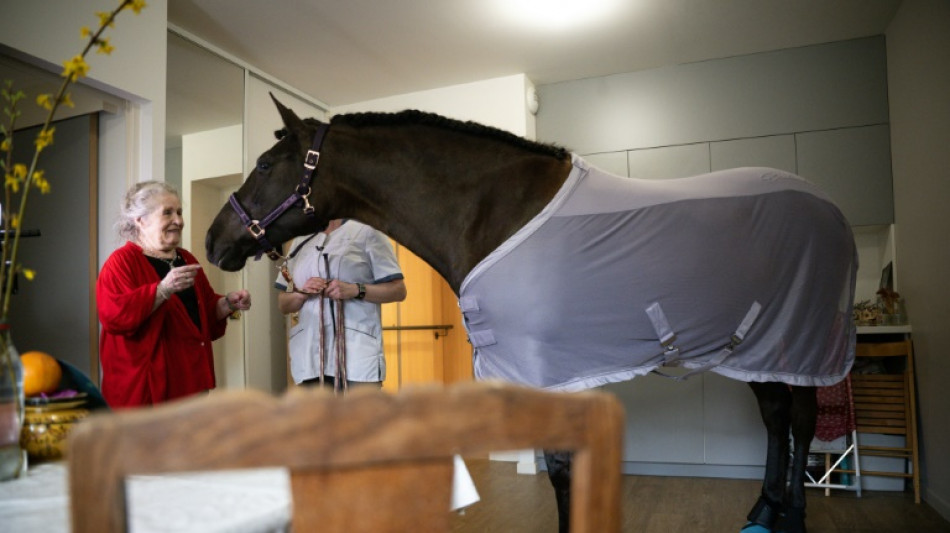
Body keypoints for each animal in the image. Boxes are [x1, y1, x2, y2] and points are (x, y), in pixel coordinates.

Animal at [205, 96, 860, 532]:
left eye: (265, 165)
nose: (214, 241)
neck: (495, 213)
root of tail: (831, 209)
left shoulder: (552, 371)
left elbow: (564, 471)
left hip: (798, 339)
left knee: (802, 419)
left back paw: (792, 515)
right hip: (751, 344)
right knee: (775, 416)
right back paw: (762, 509)